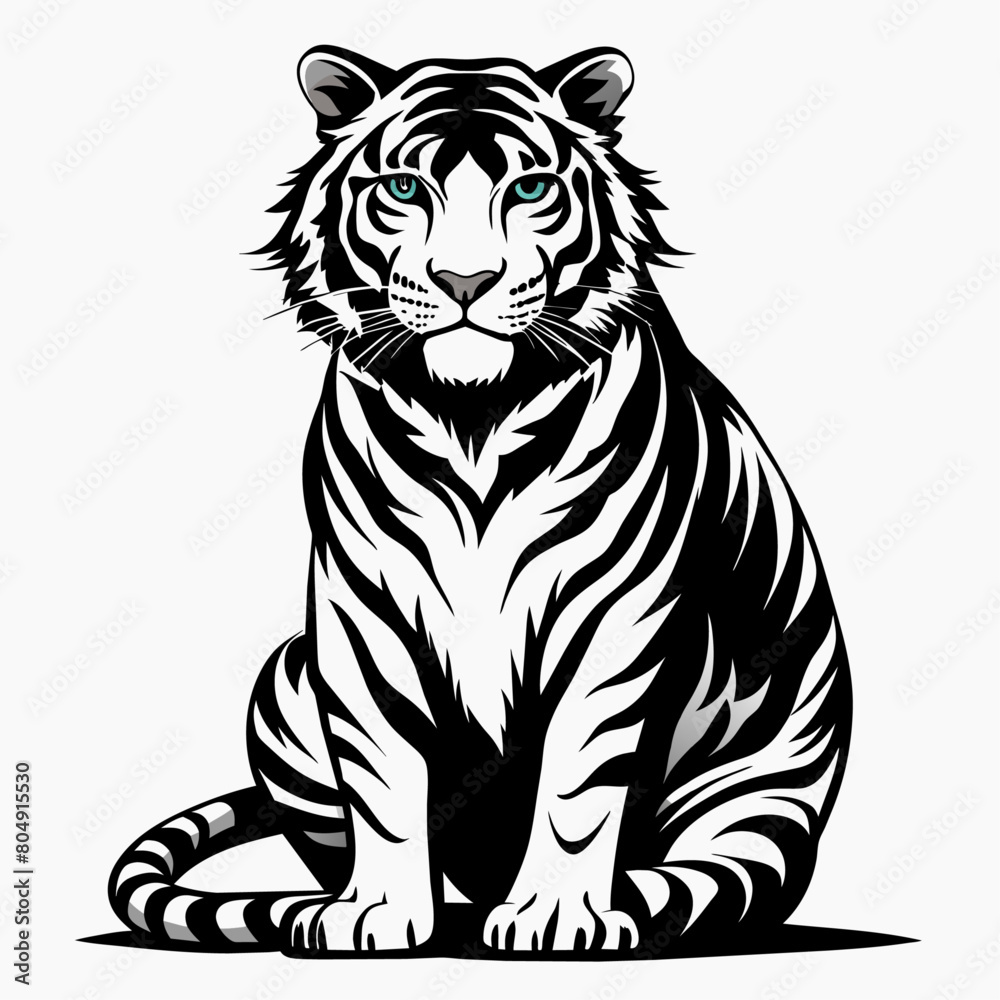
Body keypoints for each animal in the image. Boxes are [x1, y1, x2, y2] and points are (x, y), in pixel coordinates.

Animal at [107, 46, 852, 955]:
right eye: (403, 187)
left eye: (529, 189)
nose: (466, 279)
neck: (474, 417)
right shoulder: (362, 612)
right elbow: (381, 776)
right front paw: (374, 913)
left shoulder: (615, 612)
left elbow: (577, 785)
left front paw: (557, 917)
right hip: (285, 676)